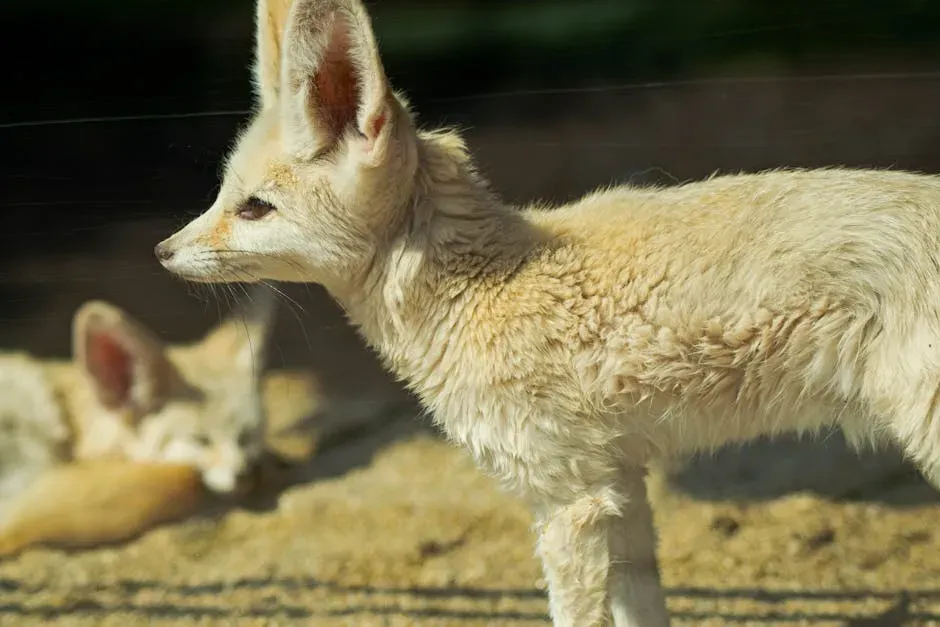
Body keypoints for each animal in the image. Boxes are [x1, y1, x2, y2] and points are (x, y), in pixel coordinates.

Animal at [153, 0, 940, 624]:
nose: (162, 252)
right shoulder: (620, 488)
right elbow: (643, 611)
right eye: (221, 196)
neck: (485, 284)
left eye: (255, 209)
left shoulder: (569, 501)